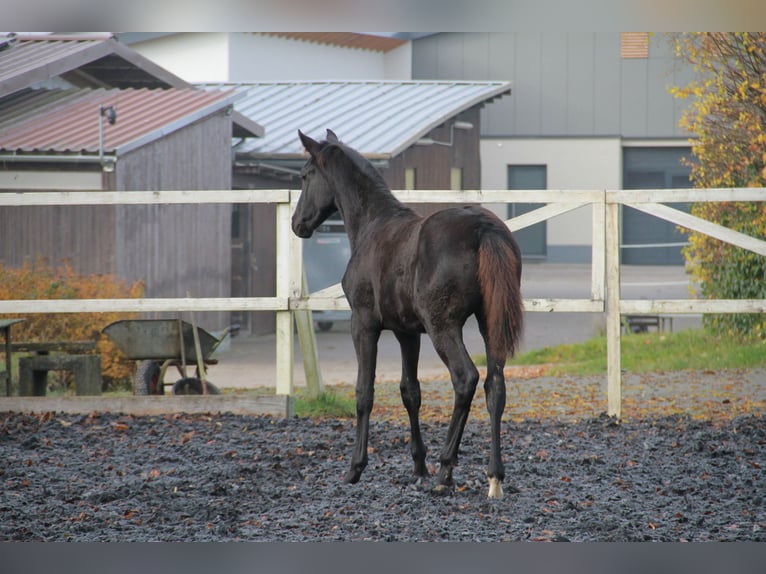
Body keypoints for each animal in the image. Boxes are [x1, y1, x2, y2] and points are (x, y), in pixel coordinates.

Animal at [292, 129, 524, 499]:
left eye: (305, 175)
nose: (297, 223)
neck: (373, 226)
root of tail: (484, 229)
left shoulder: (364, 324)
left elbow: (364, 392)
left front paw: (355, 468)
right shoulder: (407, 332)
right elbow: (410, 391)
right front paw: (418, 467)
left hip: (443, 326)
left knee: (465, 379)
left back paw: (446, 470)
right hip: (490, 323)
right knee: (495, 386)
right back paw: (494, 477)